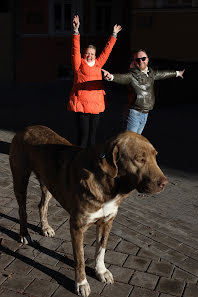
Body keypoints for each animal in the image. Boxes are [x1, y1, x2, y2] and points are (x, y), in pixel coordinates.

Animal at [8, 125, 167, 296]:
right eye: (140, 159)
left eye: (155, 157)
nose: (165, 183)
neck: (109, 189)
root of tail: (27, 128)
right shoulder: (77, 227)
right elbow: (80, 259)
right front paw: (81, 283)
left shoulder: (107, 222)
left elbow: (101, 250)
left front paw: (101, 271)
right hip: (20, 179)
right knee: (22, 210)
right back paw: (24, 234)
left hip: (49, 183)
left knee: (42, 205)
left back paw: (45, 227)